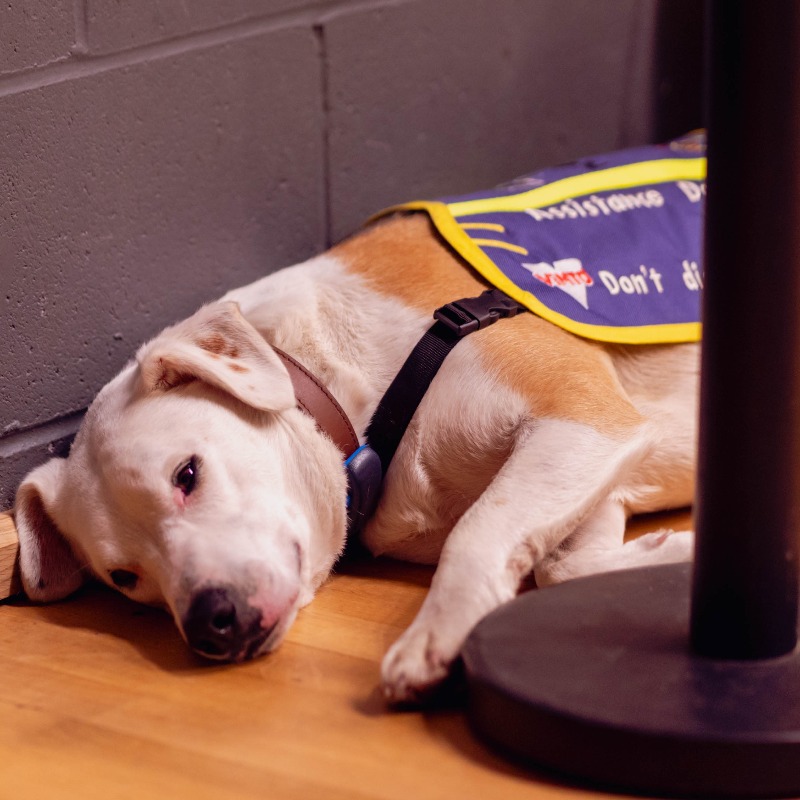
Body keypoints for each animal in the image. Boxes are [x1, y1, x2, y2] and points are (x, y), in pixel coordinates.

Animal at [15, 170, 696, 708]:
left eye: (187, 475)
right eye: (124, 578)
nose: (213, 623)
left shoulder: (583, 415)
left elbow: (479, 530)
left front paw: (434, 636)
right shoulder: (589, 466)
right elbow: (562, 563)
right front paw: (678, 558)